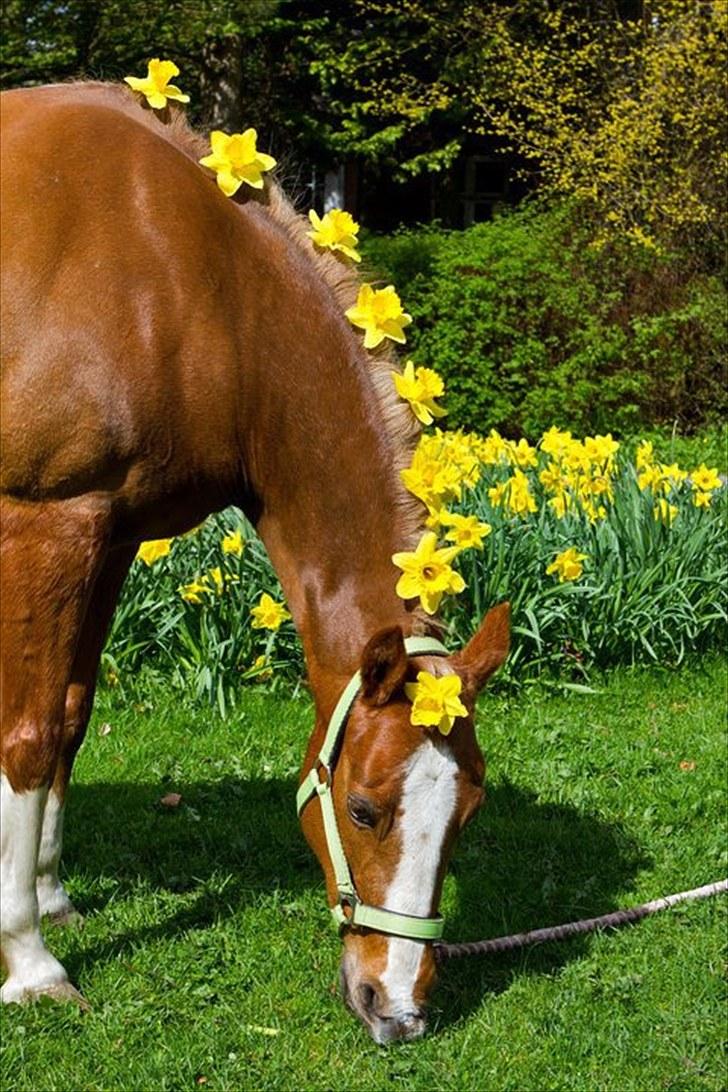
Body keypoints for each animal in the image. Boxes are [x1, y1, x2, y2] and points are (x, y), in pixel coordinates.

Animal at [0, 82, 510, 1039]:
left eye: (468, 812)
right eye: (362, 808)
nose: (398, 1008)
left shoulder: (114, 531)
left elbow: (73, 719)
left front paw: (50, 900)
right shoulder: (51, 523)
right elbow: (30, 736)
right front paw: (30, 960)